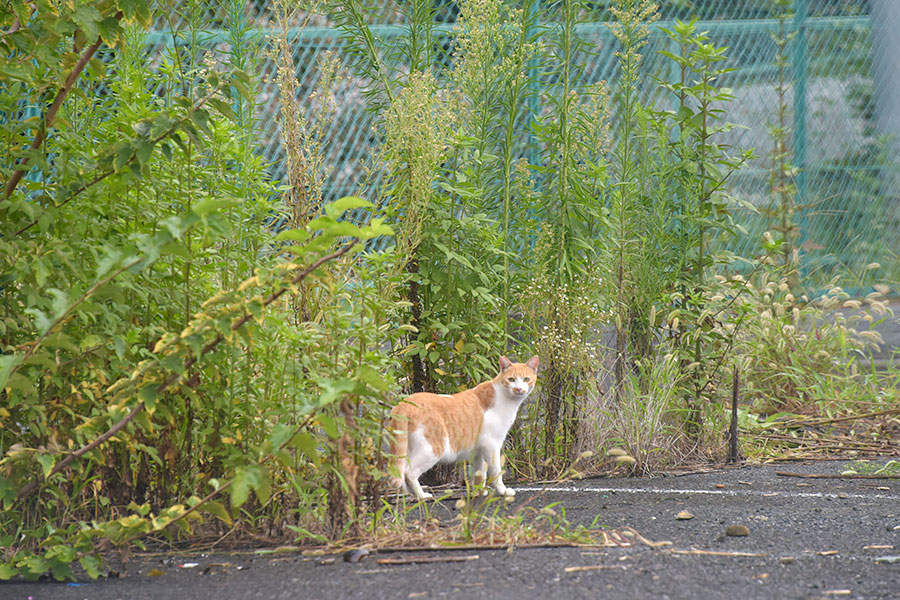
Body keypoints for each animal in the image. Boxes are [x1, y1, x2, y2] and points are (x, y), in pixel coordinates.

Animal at [388, 356, 540, 502]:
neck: (504, 398)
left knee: (402, 471)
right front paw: (502, 491)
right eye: (511, 379)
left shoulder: (480, 450)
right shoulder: (491, 445)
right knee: (409, 472)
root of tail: (404, 403)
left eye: (526, 379)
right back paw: (421, 496)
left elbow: (479, 473)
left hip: (407, 449)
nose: (518, 389)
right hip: (432, 449)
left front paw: (479, 492)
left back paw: (411, 495)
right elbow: (496, 470)